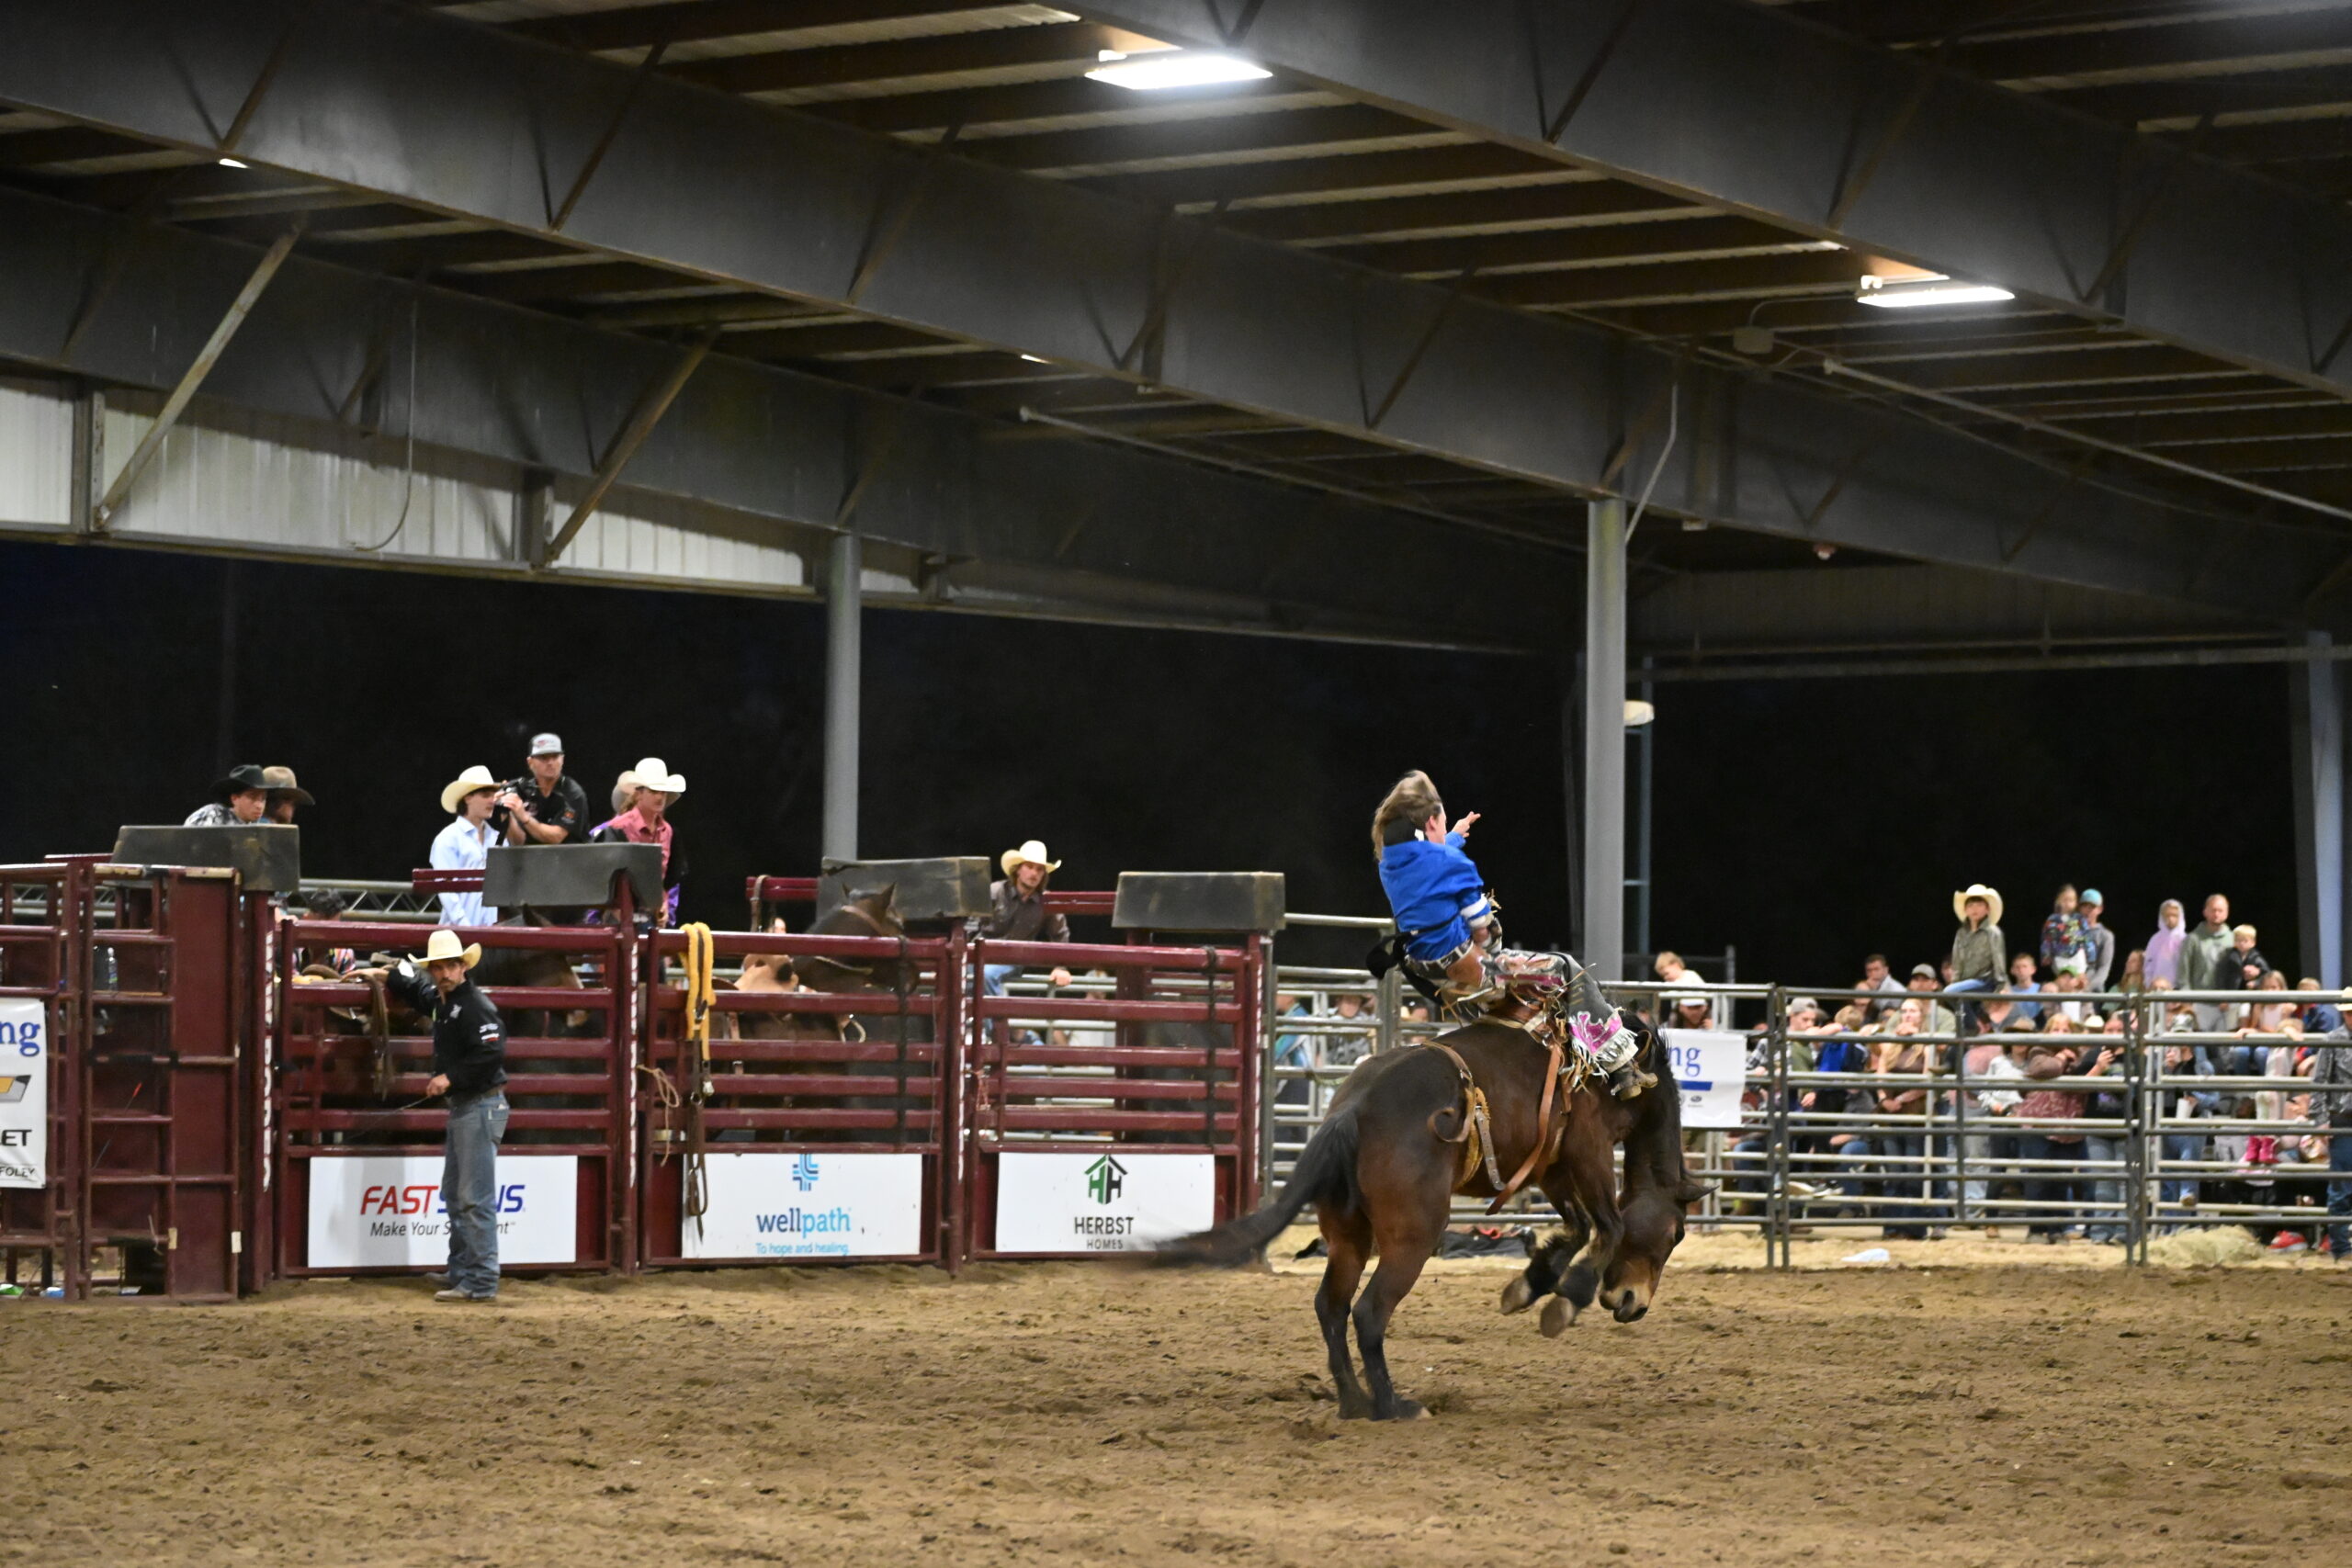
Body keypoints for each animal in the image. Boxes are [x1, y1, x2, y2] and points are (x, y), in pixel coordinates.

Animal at [1156, 1015, 1706, 1421]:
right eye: (1676, 1233)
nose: (1634, 1304)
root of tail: (1351, 1110)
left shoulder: (1549, 1164)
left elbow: (1578, 1225)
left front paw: (1527, 1287)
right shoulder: (1587, 1148)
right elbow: (1610, 1224)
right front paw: (1564, 1302)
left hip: (1348, 1237)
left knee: (1332, 1307)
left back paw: (1354, 1402)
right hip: (1413, 1238)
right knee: (1369, 1311)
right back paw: (1393, 1405)